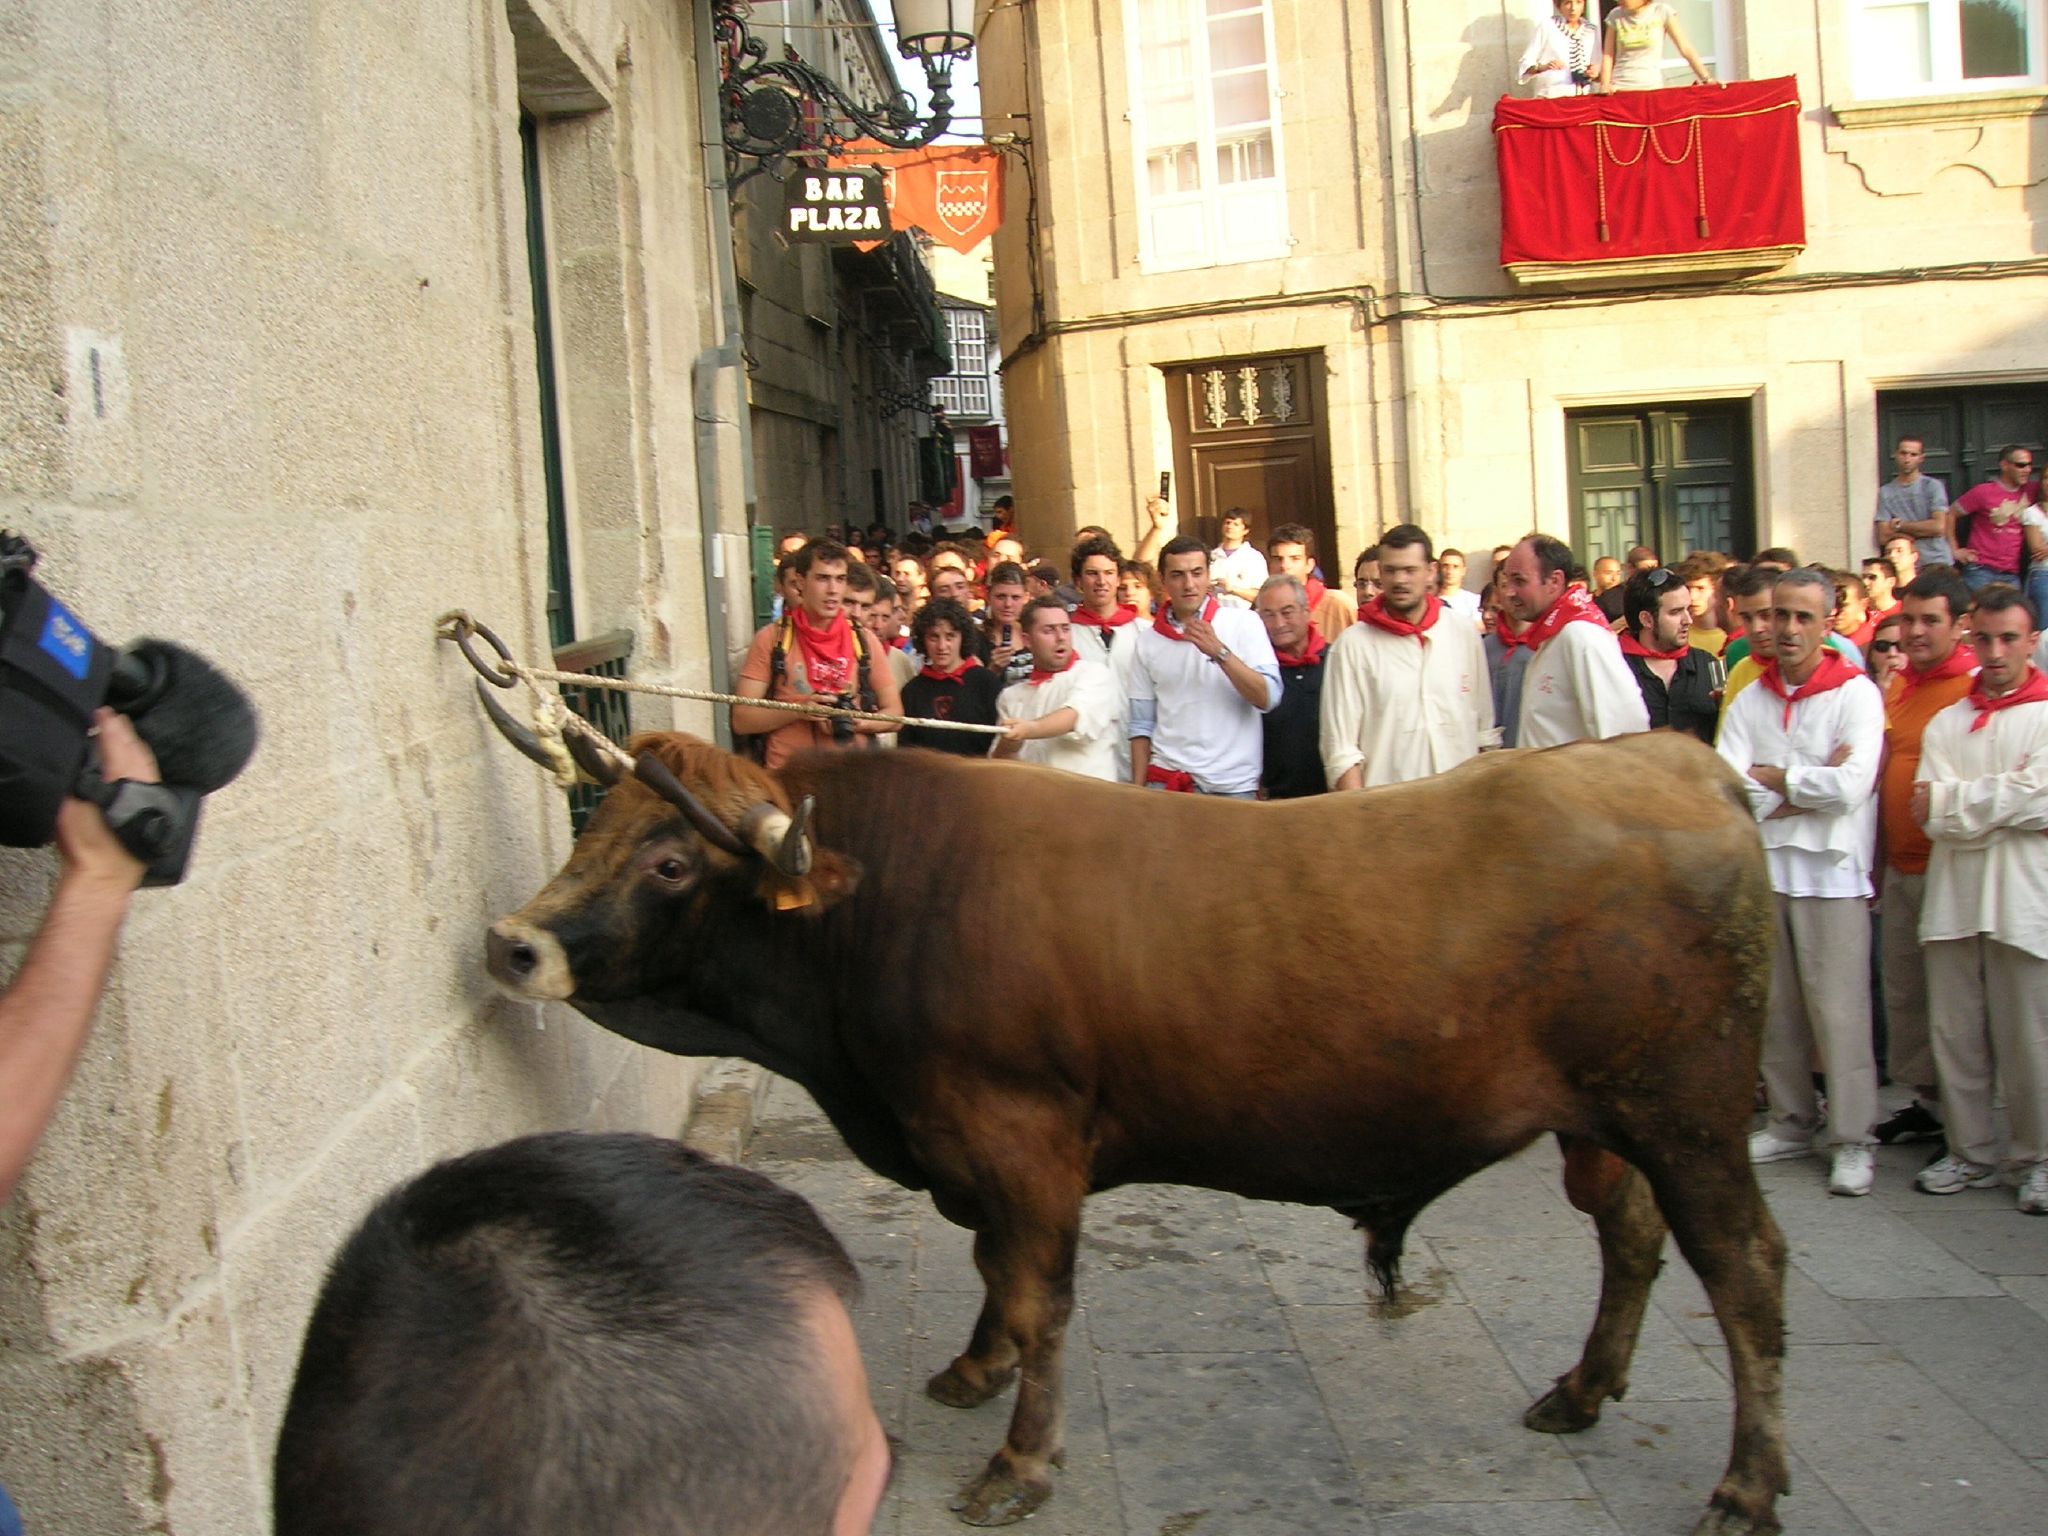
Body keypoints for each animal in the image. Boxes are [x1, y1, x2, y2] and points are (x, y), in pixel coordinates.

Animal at [487, 733, 1785, 1536]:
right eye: (591, 828)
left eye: (668, 859)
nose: (511, 942)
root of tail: (1664, 756)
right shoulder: (973, 1152)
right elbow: (994, 1275)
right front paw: (973, 1369)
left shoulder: (1020, 1139)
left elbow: (1036, 1294)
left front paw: (1019, 1462)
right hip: (1606, 1123)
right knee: (1628, 1236)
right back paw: (1582, 1389)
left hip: (1692, 1117)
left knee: (1742, 1276)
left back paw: (1744, 1486)